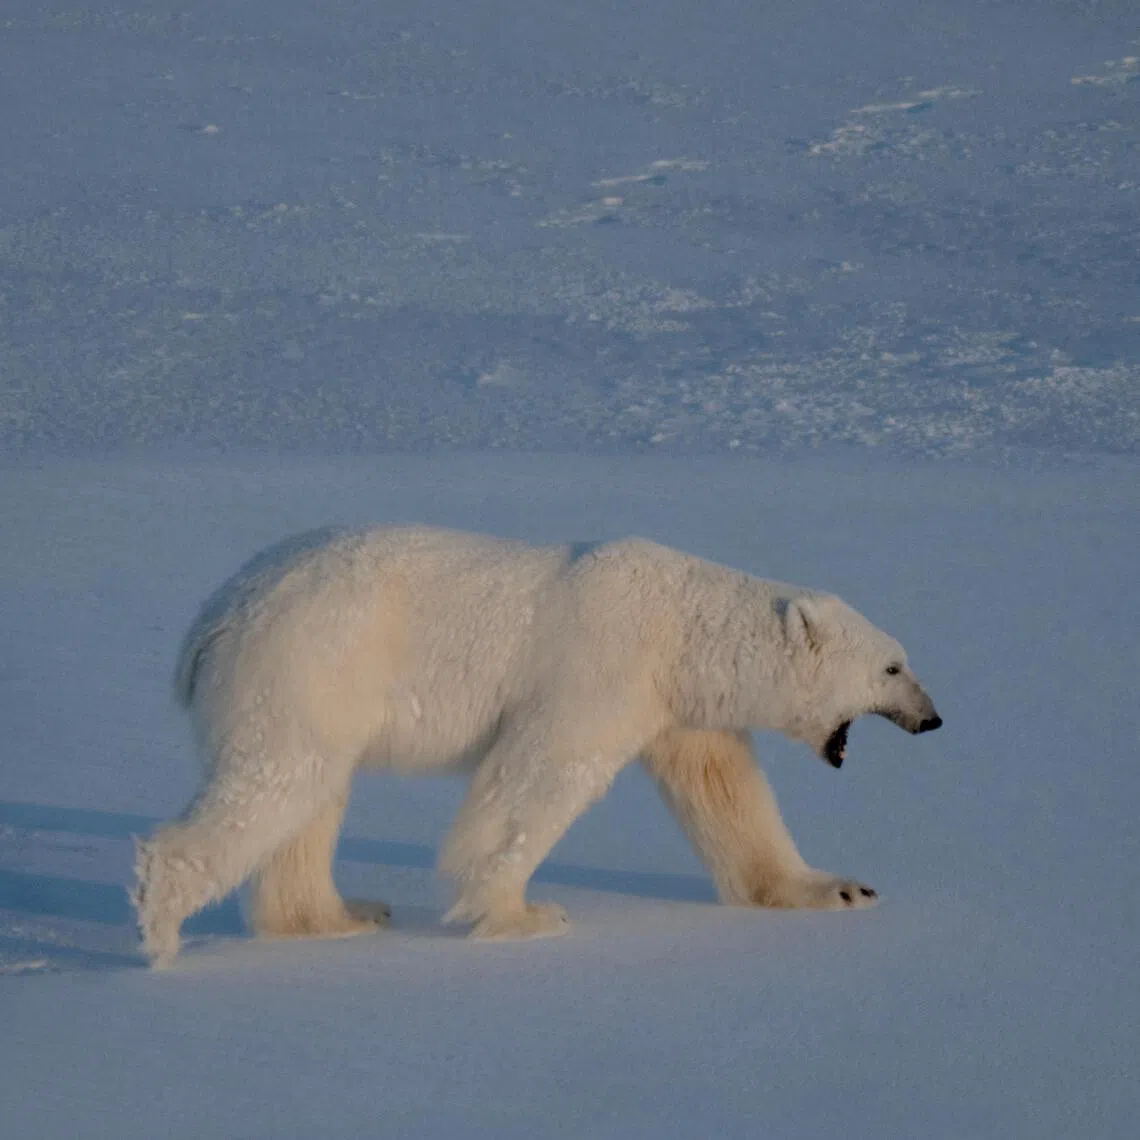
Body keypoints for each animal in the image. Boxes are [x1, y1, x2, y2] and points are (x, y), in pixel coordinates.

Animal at [132, 526, 941, 965]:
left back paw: (340, 915)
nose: (933, 719)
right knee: (277, 779)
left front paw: (840, 889)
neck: (682, 626)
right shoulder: (603, 665)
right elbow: (540, 773)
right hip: (311, 659)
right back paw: (162, 924)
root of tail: (212, 616)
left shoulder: (679, 706)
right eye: (893, 667)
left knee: (311, 795)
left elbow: (725, 791)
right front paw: (523, 914)